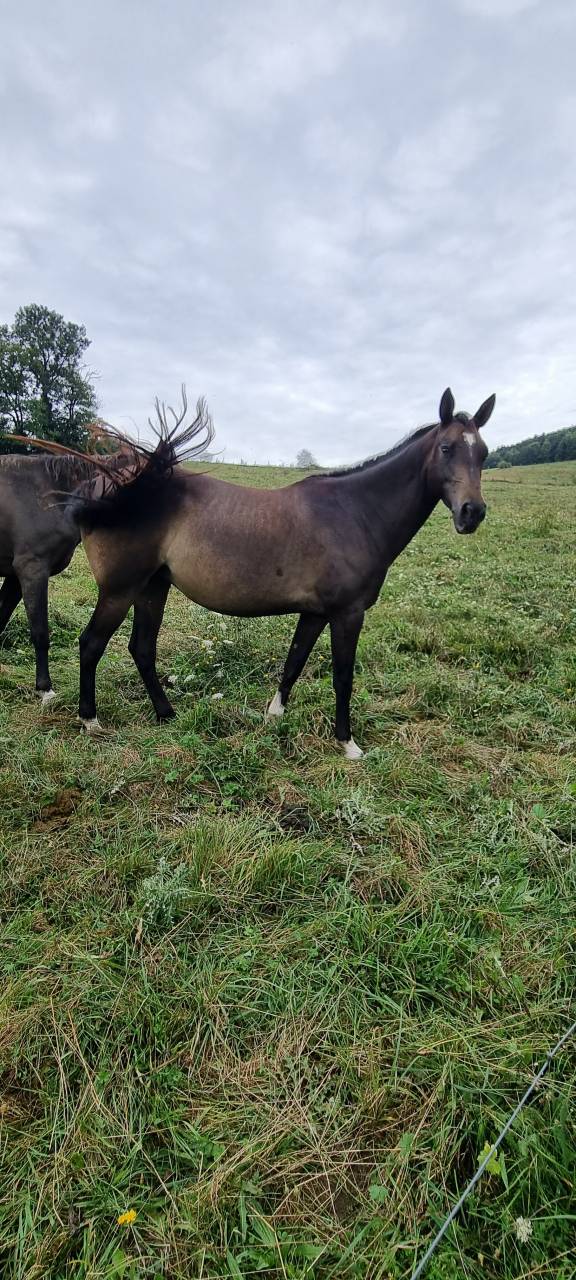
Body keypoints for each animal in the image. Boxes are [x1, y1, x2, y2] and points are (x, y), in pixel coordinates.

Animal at [25, 386, 495, 756]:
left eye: (484, 454)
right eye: (447, 449)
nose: (472, 513)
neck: (354, 512)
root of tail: (107, 488)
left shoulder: (315, 612)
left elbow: (294, 662)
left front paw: (273, 717)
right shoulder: (347, 614)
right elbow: (342, 677)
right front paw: (347, 743)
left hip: (152, 588)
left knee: (141, 649)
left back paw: (166, 713)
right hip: (120, 590)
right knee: (91, 644)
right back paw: (90, 720)